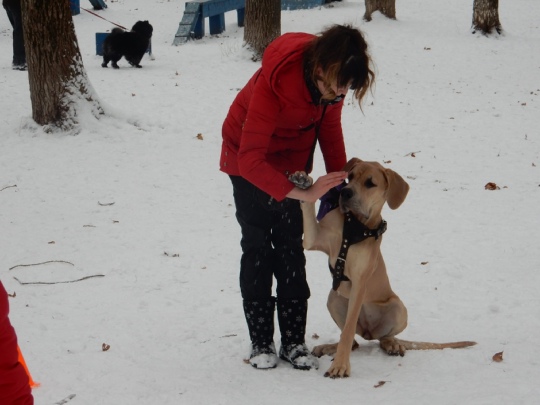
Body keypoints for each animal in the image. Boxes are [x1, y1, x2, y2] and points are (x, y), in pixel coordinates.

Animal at [294, 158, 476, 378]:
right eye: (350, 177)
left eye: (370, 183)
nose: (345, 192)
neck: (354, 227)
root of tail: (368, 332)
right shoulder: (313, 240)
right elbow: (308, 208)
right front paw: (305, 183)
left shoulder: (360, 283)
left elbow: (348, 331)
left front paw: (340, 366)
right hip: (333, 298)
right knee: (354, 340)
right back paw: (328, 347)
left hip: (399, 307)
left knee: (378, 337)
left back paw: (392, 345)